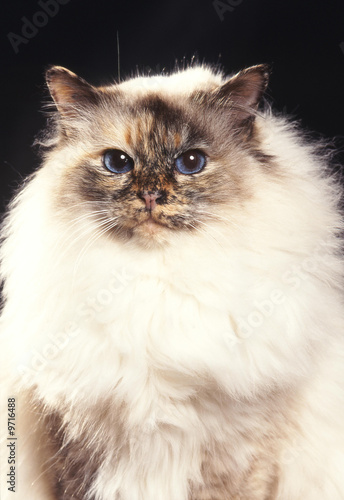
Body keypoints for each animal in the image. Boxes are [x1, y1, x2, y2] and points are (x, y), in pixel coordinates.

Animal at [0, 62, 344, 500]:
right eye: (117, 162)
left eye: (191, 162)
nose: (150, 195)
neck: (156, 284)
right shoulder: (75, 449)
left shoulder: (240, 456)